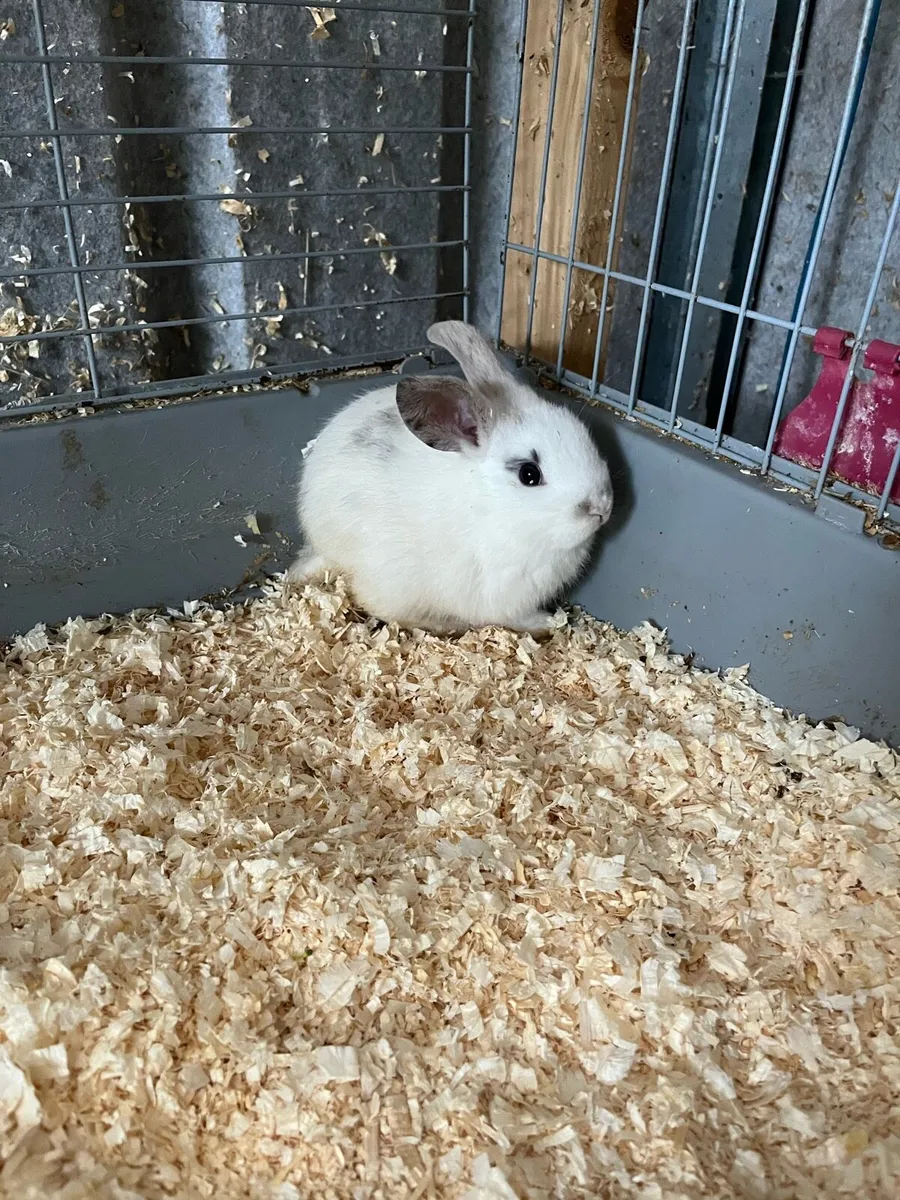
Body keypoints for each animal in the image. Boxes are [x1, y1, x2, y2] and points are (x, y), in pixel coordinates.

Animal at [287, 320, 613, 635]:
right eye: (529, 474)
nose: (603, 508)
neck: (496, 510)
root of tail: (323, 545)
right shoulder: (502, 596)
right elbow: (515, 617)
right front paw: (547, 624)